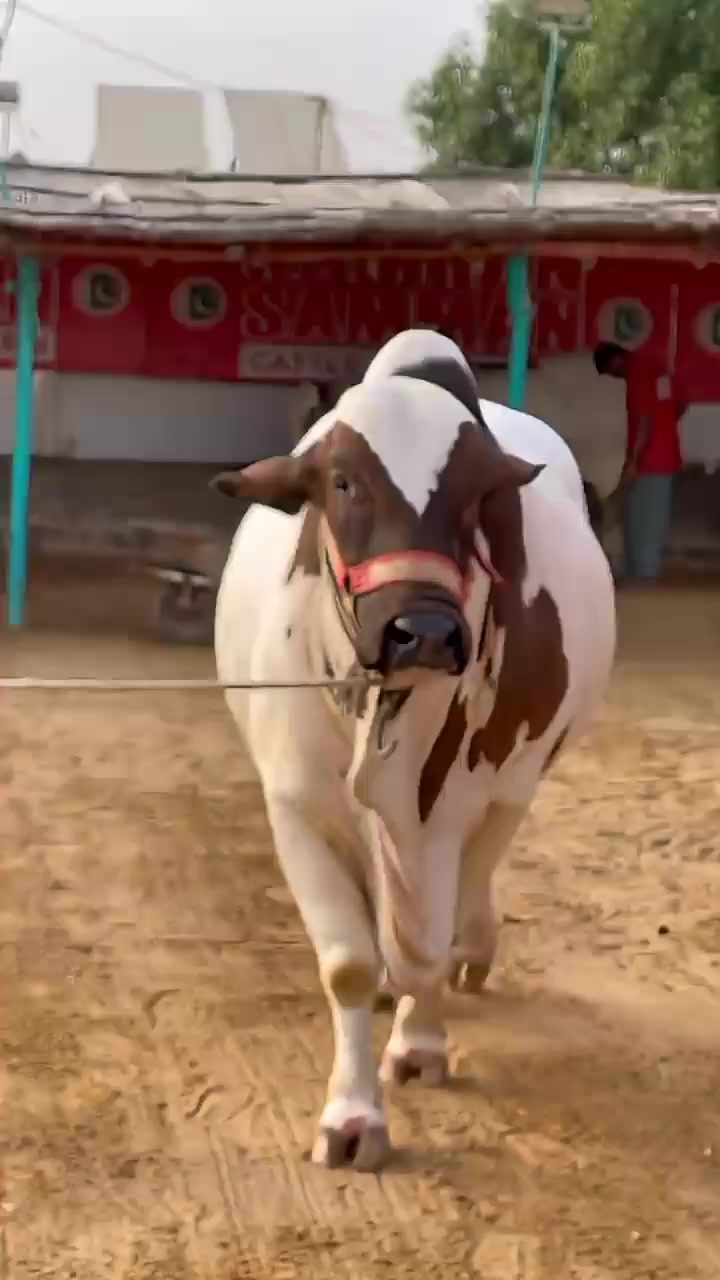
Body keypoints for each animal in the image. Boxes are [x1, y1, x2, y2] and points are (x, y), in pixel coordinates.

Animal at [213, 329, 616, 1173]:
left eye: (479, 495)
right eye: (342, 481)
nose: (422, 632)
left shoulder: (464, 804)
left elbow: (428, 938)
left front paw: (421, 1042)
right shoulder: (298, 803)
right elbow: (348, 962)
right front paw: (352, 1115)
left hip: (511, 790)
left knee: (465, 894)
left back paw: (466, 953)